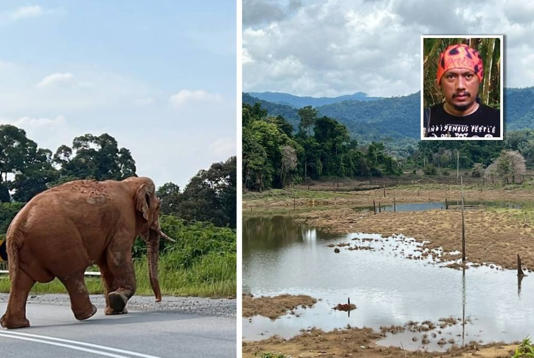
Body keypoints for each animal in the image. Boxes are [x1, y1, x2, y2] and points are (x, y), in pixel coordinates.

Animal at [0, 176, 172, 330]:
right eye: (159, 207)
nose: (157, 300)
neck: (129, 184)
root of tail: (16, 228)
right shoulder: (123, 221)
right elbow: (117, 258)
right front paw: (116, 300)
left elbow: (106, 266)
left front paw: (115, 311)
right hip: (59, 240)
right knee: (72, 273)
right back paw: (90, 313)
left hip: (29, 249)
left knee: (21, 281)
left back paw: (17, 325)